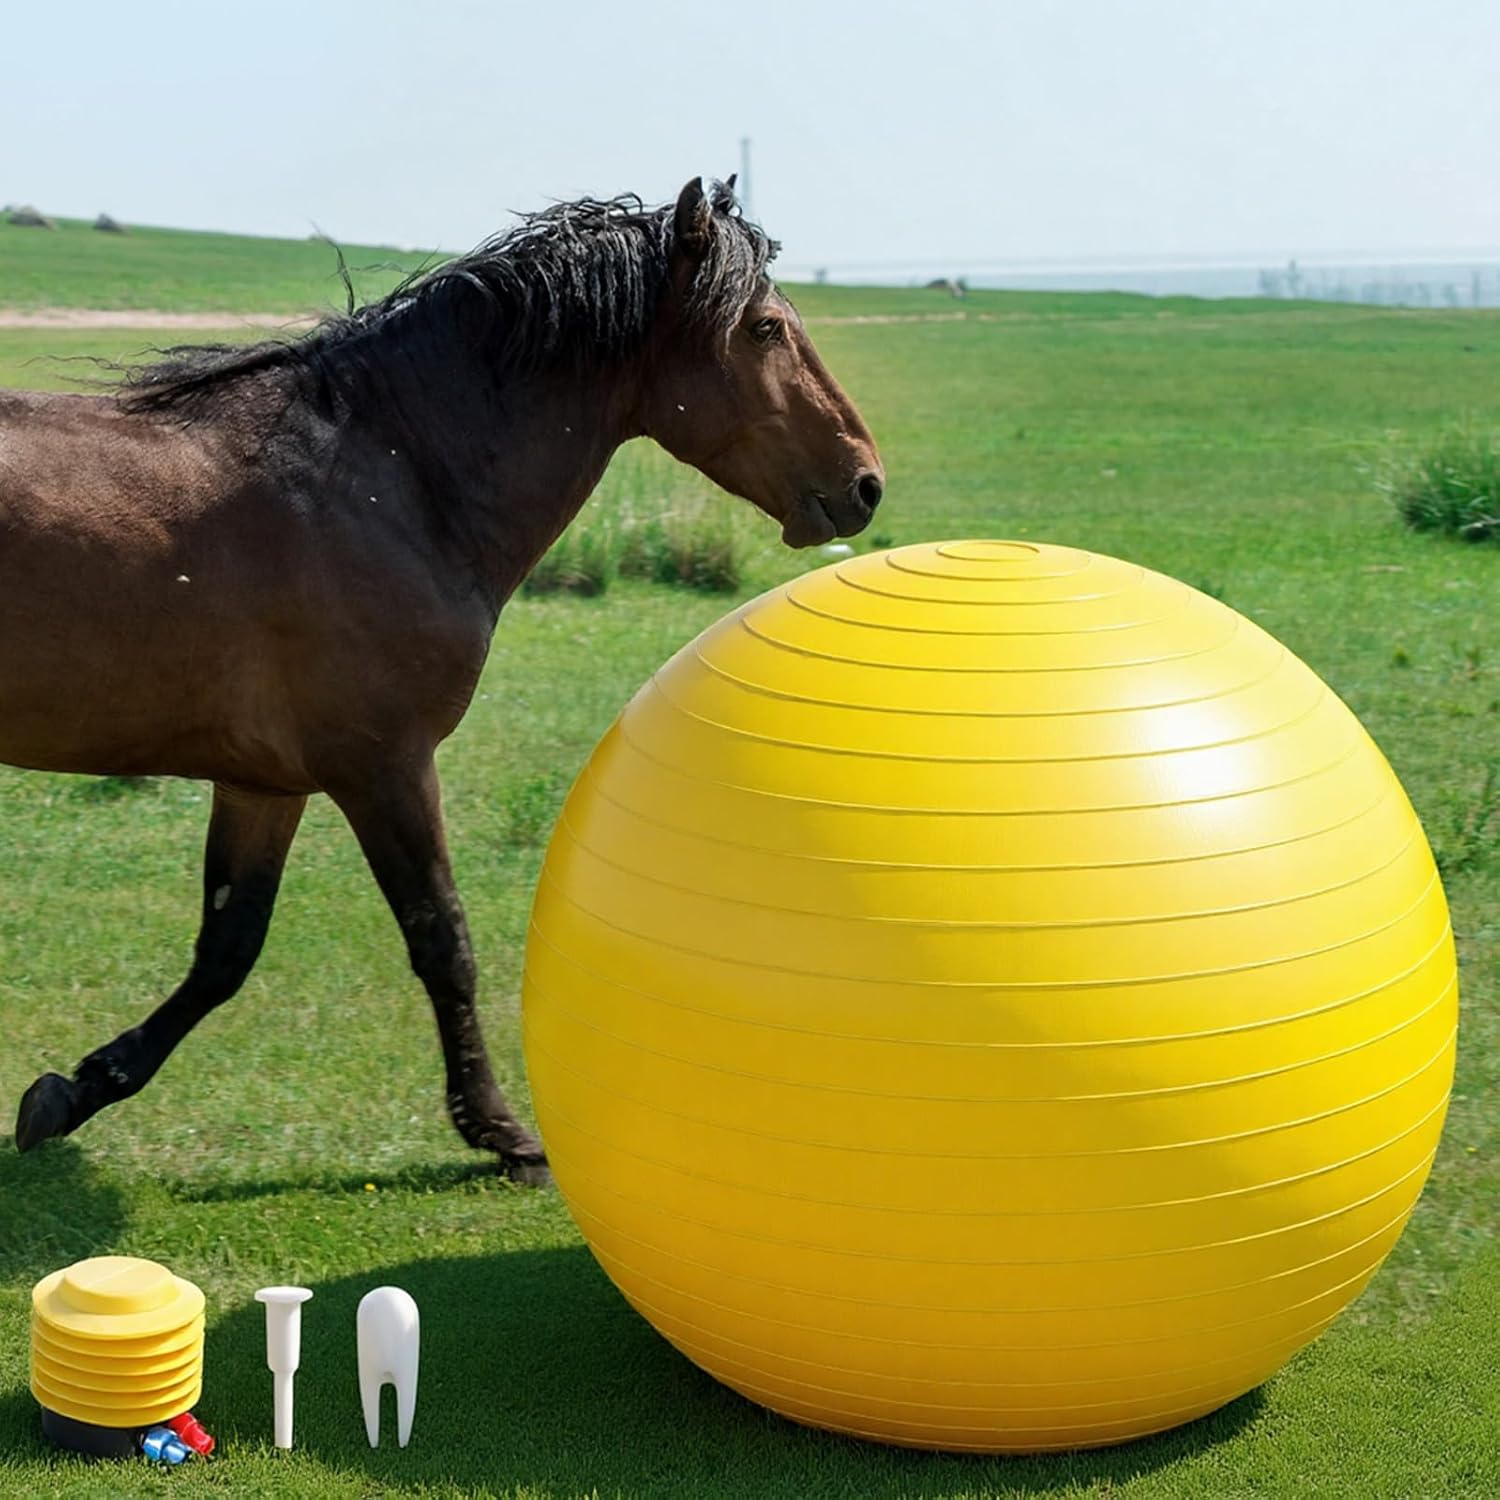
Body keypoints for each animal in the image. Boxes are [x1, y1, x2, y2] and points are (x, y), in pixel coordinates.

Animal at [2, 177, 883, 1181]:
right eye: (766, 327)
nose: (865, 482)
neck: (394, 481)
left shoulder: (265, 783)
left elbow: (226, 949)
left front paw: (76, 1089)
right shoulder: (386, 767)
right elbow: (443, 940)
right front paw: (501, 1130)